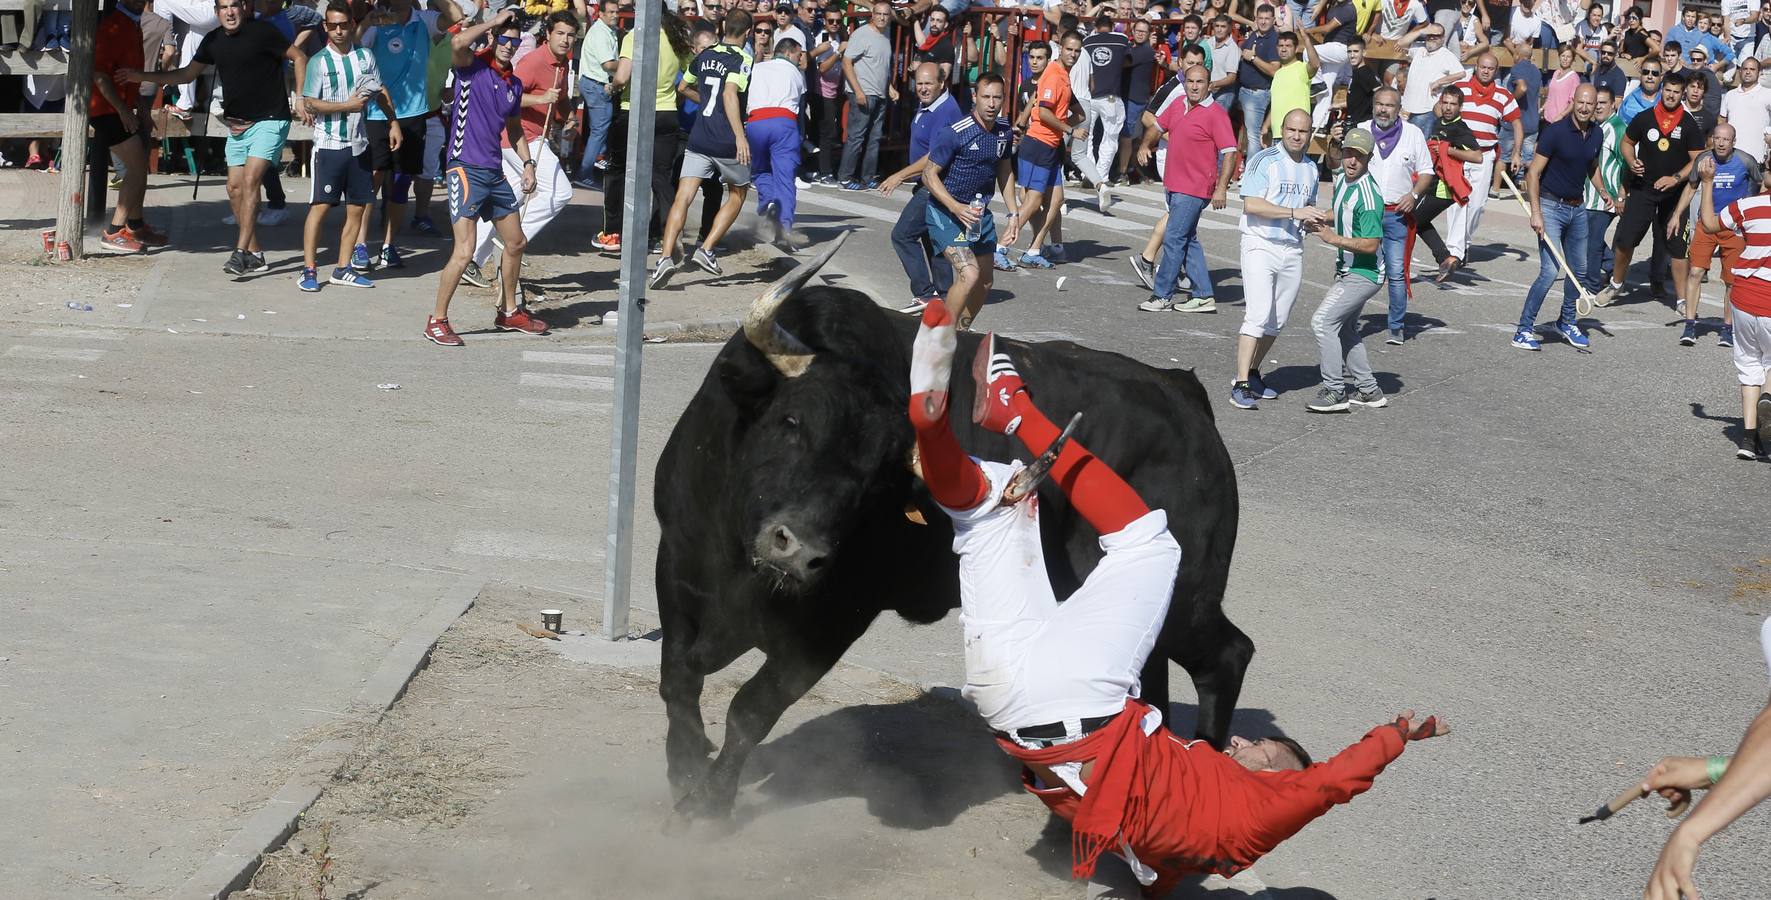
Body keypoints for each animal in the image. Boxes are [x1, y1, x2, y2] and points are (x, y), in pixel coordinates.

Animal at [651, 281, 1246, 822]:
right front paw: (683, 768)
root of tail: (1181, 393)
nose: (799, 551)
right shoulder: (676, 564)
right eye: (791, 421)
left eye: (877, 476)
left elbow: (752, 708)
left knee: (1226, 655)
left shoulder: (834, 621)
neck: (739, 564)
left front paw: (706, 805)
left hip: (1183, 588)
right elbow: (678, 679)